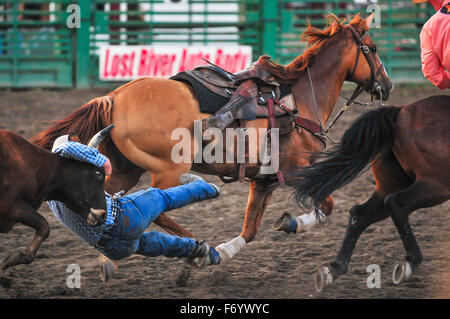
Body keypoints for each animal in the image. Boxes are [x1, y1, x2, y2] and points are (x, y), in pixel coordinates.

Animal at [292, 95, 450, 292]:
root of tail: (401, 111)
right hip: (435, 184)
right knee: (396, 204)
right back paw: (410, 262)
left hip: (391, 185)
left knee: (360, 214)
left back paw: (334, 270)